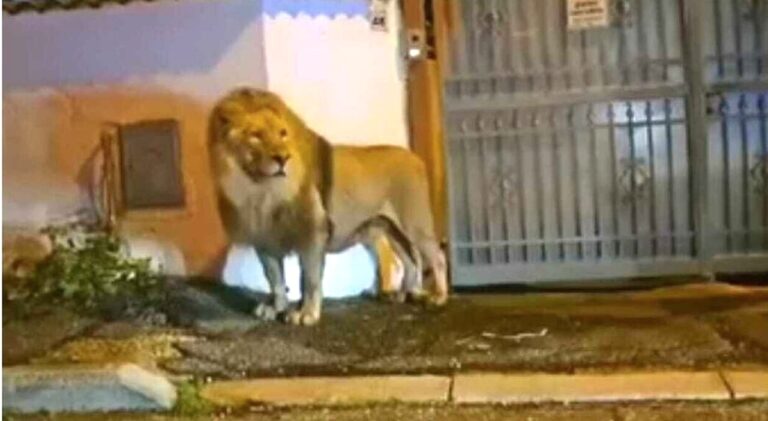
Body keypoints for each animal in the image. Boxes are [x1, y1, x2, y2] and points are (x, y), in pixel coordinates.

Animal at [209, 88, 448, 326]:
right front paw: (276, 308)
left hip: (414, 224)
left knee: (436, 256)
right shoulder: (265, 243)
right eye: (256, 135)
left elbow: (309, 280)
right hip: (388, 229)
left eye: (283, 133)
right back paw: (401, 294)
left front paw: (306, 313)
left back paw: (438, 297)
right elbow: (275, 280)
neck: (260, 191)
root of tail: (414, 156)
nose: (283, 158)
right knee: (408, 260)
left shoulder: (312, 236)